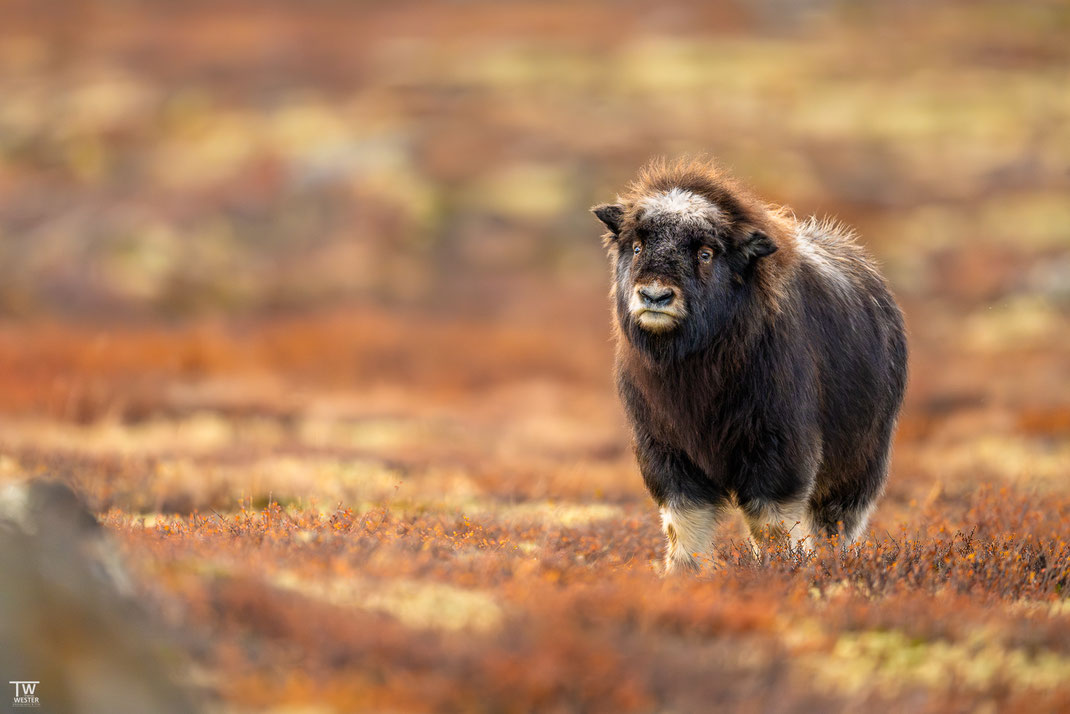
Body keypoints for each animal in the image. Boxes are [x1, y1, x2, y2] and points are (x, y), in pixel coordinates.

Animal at [590, 159, 907, 573]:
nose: (654, 296)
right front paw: (684, 575)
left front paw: (780, 570)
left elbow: (772, 522)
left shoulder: (775, 448)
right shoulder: (666, 451)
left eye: (706, 253)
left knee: (836, 521)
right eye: (638, 245)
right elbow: (684, 522)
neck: (692, 366)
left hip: (861, 459)